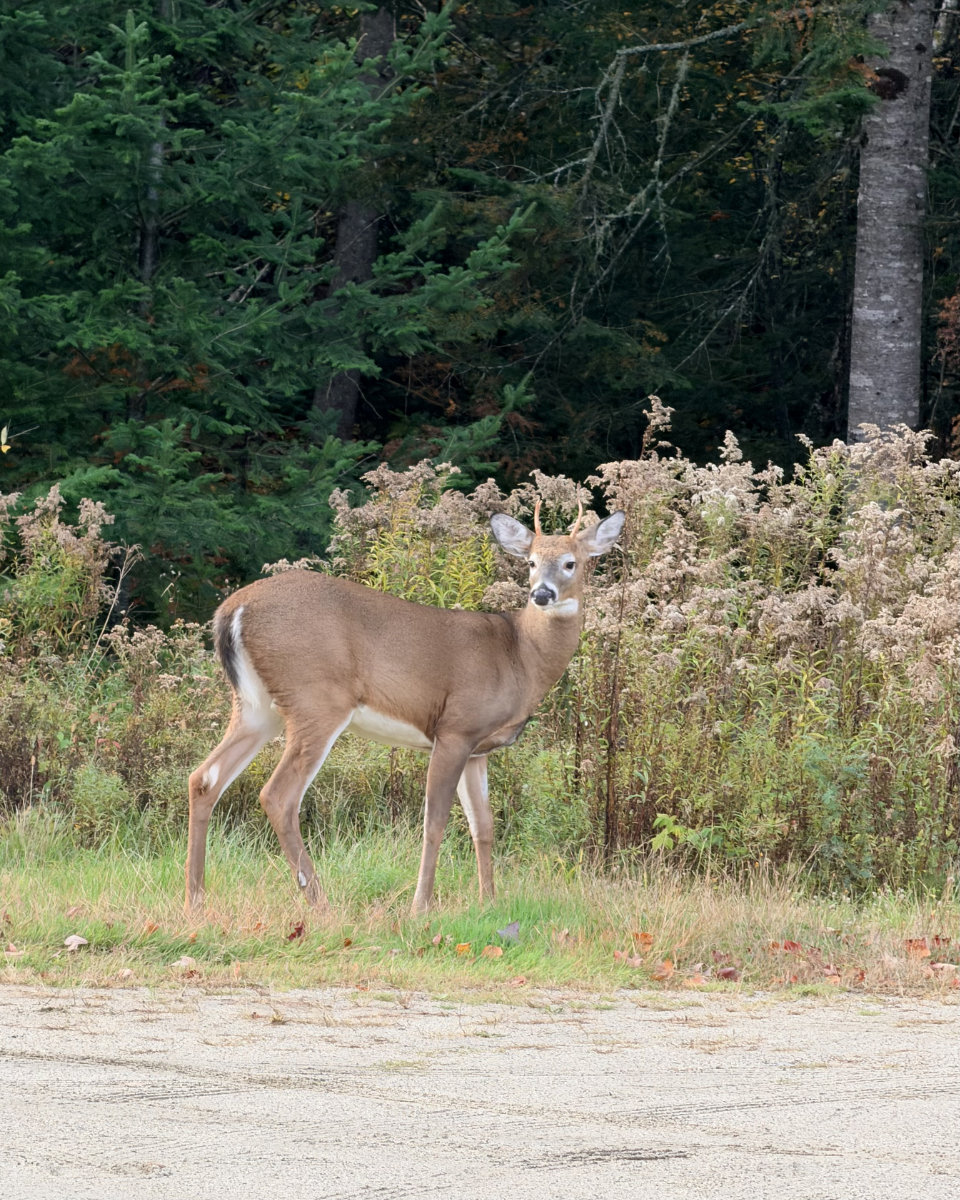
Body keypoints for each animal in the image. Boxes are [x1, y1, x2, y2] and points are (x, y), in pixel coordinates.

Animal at [185, 500, 625, 915]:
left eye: (570, 562)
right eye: (531, 562)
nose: (542, 594)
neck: (520, 656)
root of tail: (232, 610)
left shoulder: (478, 749)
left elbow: (483, 825)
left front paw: (489, 902)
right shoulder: (455, 729)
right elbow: (435, 823)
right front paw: (421, 906)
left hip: (257, 706)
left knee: (204, 777)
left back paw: (196, 900)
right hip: (317, 699)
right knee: (278, 795)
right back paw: (321, 903)